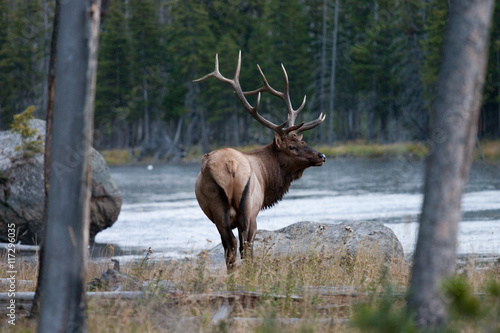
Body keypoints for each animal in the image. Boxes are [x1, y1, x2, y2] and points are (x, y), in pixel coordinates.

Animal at [193, 52, 326, 270]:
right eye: (292, 147)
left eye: (303, 140)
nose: (321, 156)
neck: (267, 176)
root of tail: (230, 164)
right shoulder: (255, 210)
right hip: (248, 208)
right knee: (244, 245)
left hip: (217, 208)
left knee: (230, 246)